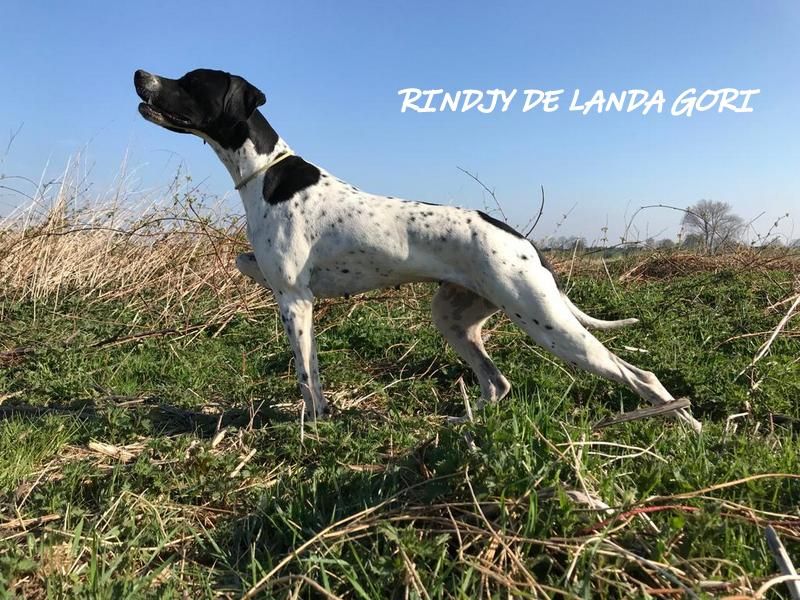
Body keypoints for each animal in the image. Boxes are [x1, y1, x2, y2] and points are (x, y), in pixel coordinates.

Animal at [136, 67, 700, 432]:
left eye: (190, 81)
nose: (141, 74)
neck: (266, 173)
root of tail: (523, 243)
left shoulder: (295, 300)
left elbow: (305, 375)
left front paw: (312, 424)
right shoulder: (294, 294)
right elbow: (251, 273)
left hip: (548, 324)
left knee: (642, 375)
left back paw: (689, 429)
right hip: (455, 319)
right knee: (497, 384)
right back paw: (462, 422)